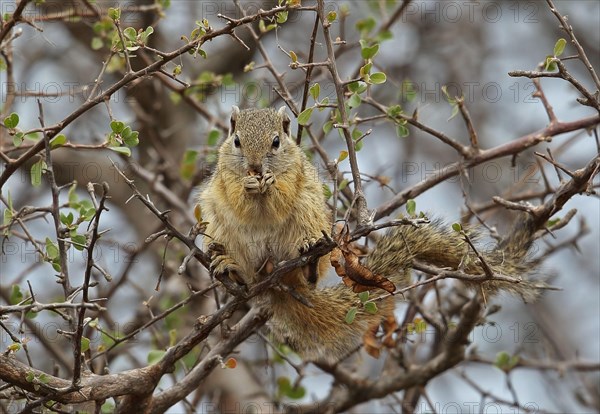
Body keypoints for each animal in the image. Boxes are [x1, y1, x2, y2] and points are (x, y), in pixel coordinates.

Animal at [198, 107, 544, 362]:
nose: (256, 167)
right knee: (245, 272)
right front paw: (248, 185)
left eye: (275, 142)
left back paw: (306, 261)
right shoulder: (224, 178)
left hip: (309, 214)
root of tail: (275, 282)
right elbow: (235, 194)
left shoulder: (296, 175)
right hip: (218, 225)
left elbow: (282, 194)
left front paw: (269, 185)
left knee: (306, 266)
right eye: (236, 141)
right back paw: (229, 266)